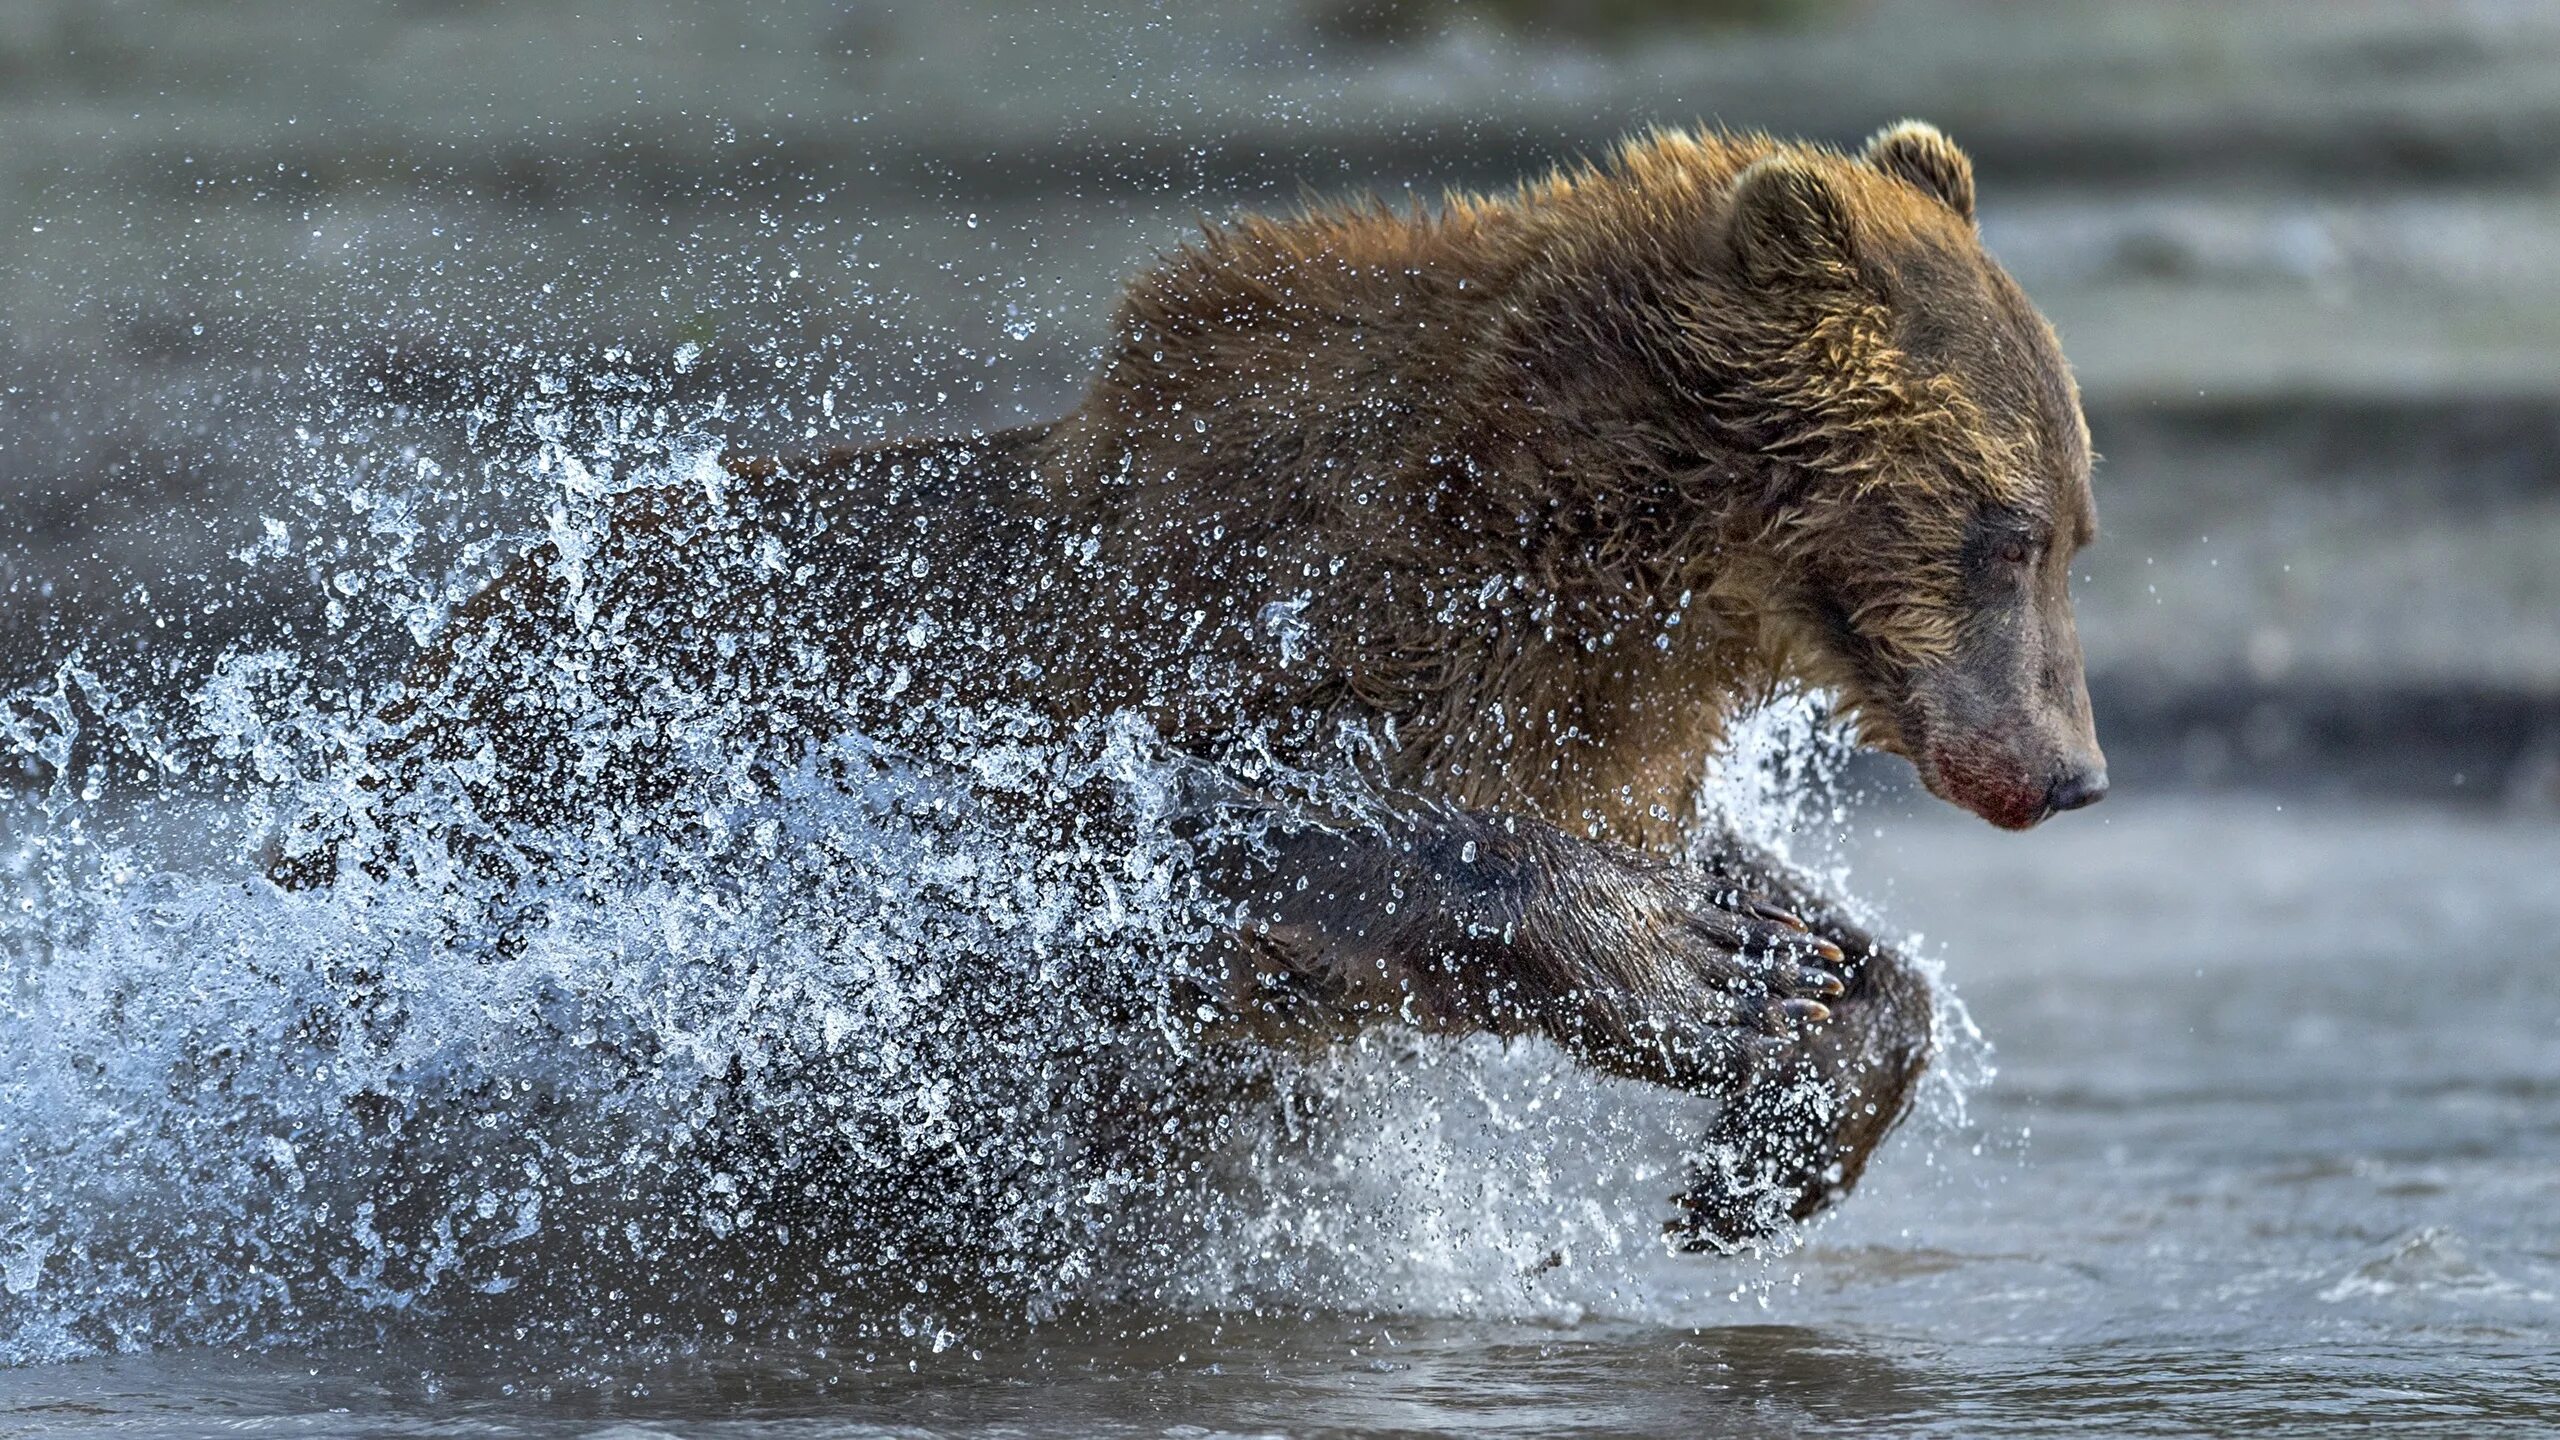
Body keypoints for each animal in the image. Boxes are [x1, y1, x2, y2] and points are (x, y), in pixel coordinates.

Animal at [290, 120, 2109, 1245]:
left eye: (2076, 526)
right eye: (2007, 530)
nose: (2072, 768)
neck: (1593, 549)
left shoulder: (1593, 725)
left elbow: (1764, 895)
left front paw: (1788, 1088)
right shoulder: (1208, 635)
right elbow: (1203, 832)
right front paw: (1703, 975)